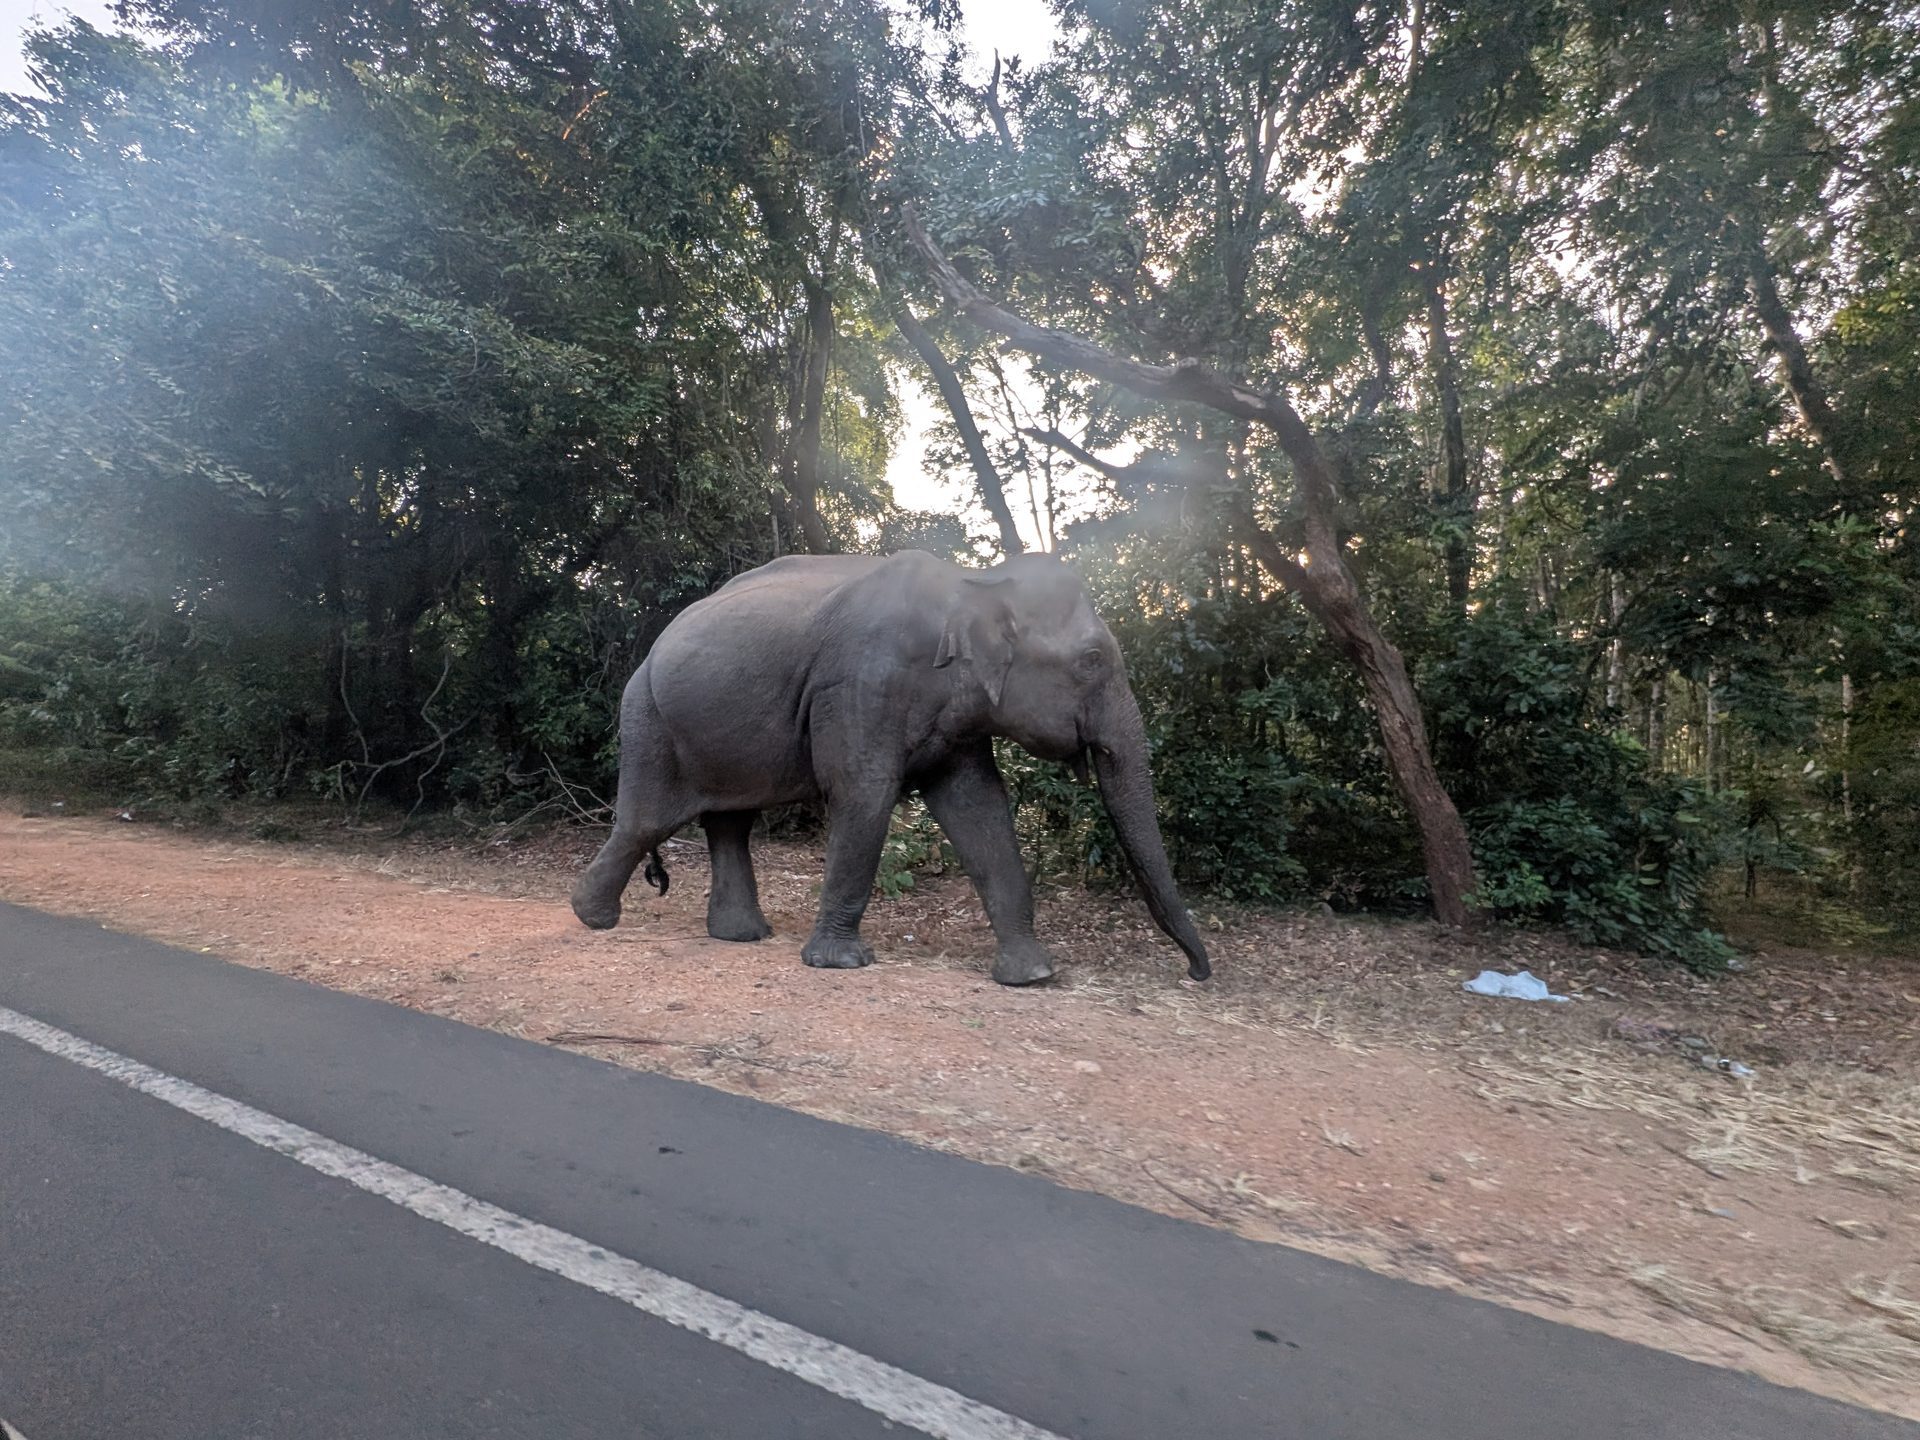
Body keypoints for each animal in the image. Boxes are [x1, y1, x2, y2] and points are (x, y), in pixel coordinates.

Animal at [570, 549, 1211, 986]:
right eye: (1092, 660)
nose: (1196, 973)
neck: (973, 580)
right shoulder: (859, 685)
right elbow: (864, 795)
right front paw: (841, 964)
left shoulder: (959, 716)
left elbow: (979, 807)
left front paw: (1032, 977)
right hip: (648, 717)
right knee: (647, 822)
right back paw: (593, 918)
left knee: (731, 823)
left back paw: (740, 936)